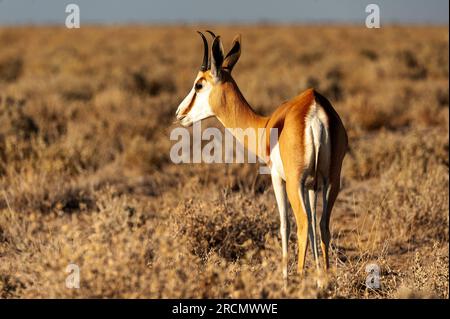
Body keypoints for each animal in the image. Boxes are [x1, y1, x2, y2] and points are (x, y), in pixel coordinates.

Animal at [175, 31, 348, 284]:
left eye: (199, 84)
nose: (179, 113)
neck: (265, 126)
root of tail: (315, 108)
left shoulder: (278, 178)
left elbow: (285, 225)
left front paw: (286, 281)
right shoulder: (312, 186)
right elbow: (314, 227)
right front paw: (318, 280)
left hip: (295, 183)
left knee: (302, 225)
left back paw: (297, 281)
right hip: (331, 181)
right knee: (322, 225)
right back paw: (324, 282)